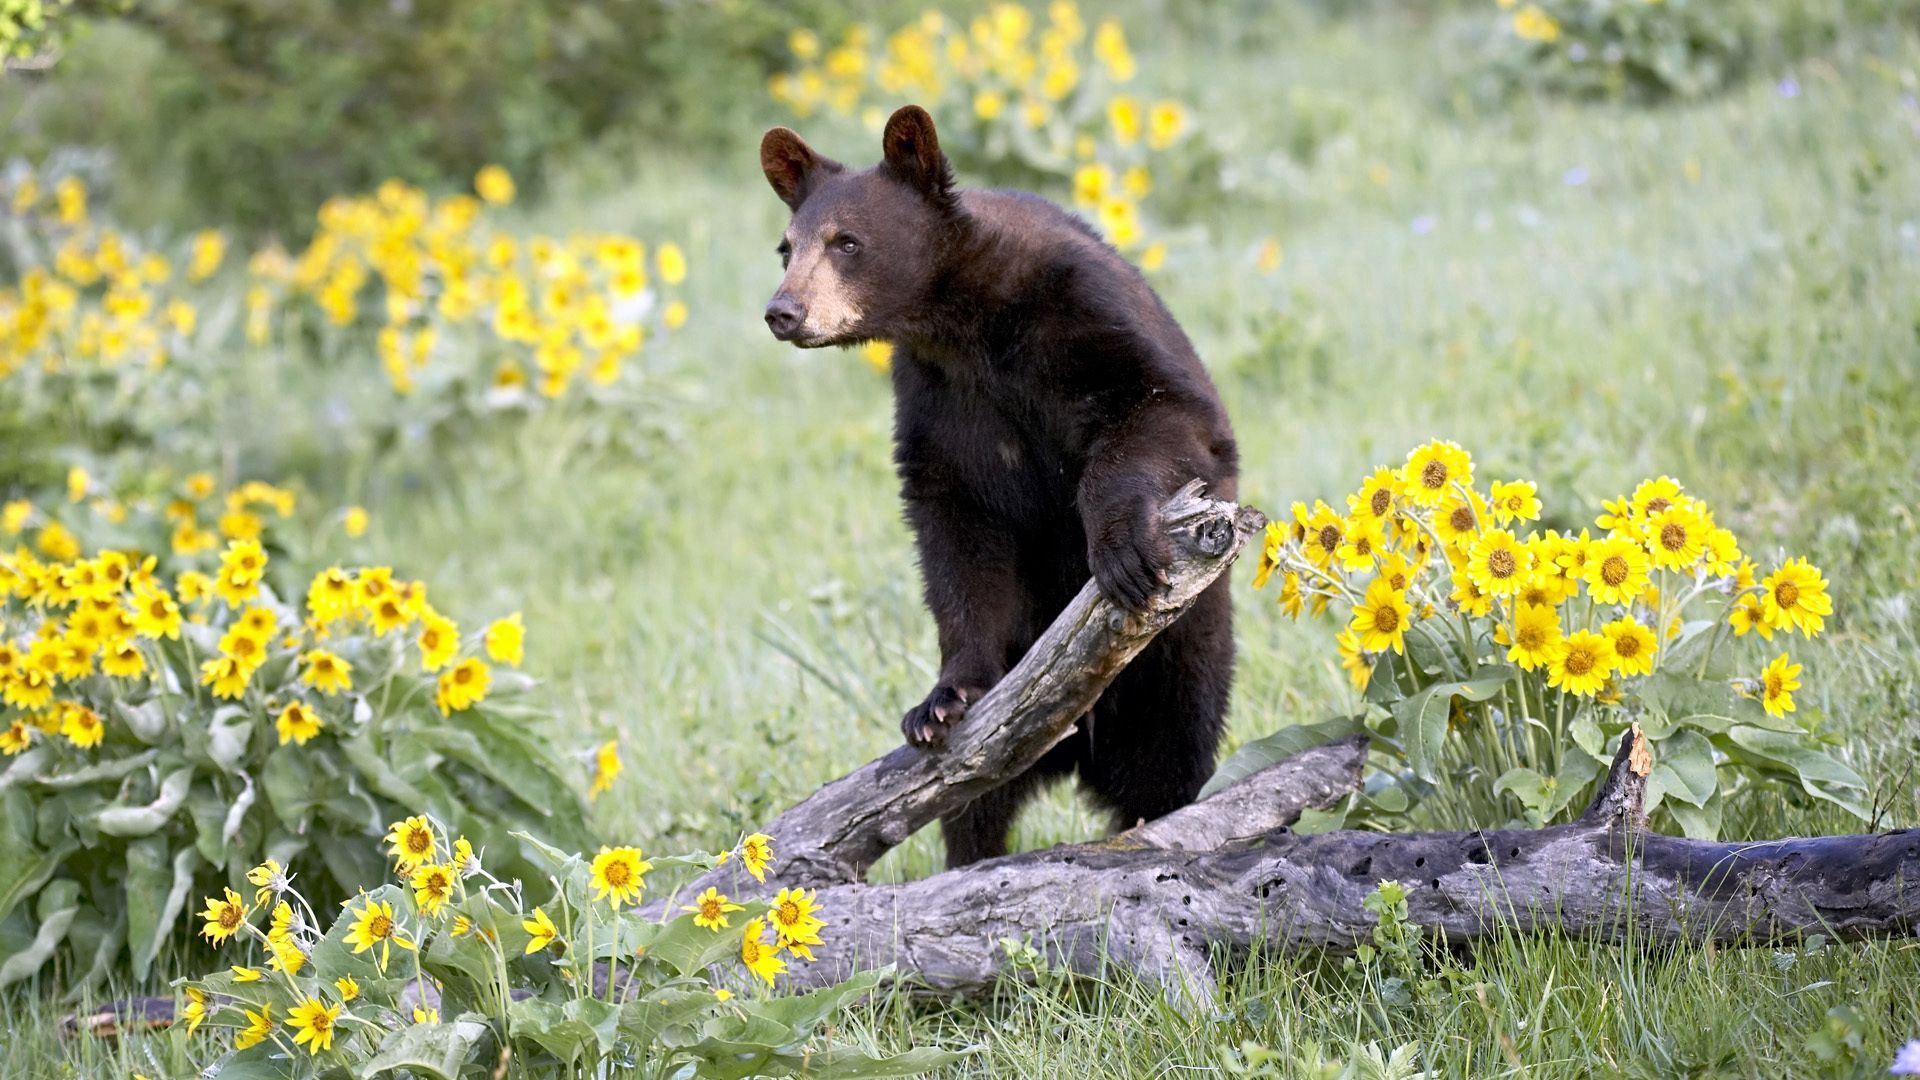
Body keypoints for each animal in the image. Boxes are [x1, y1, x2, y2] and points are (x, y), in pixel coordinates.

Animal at [756, 107, 1236, 864]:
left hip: (1179, 662)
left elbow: (1165, 411)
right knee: (972, 807)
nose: (784, 311)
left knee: (1171, 761)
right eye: (787, 248)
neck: (966, 322)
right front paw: (942, 700)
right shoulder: (938, 399)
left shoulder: (1087, 312)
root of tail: (1078, 753)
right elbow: (958, 534)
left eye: (847, 242)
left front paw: (1122, 551)